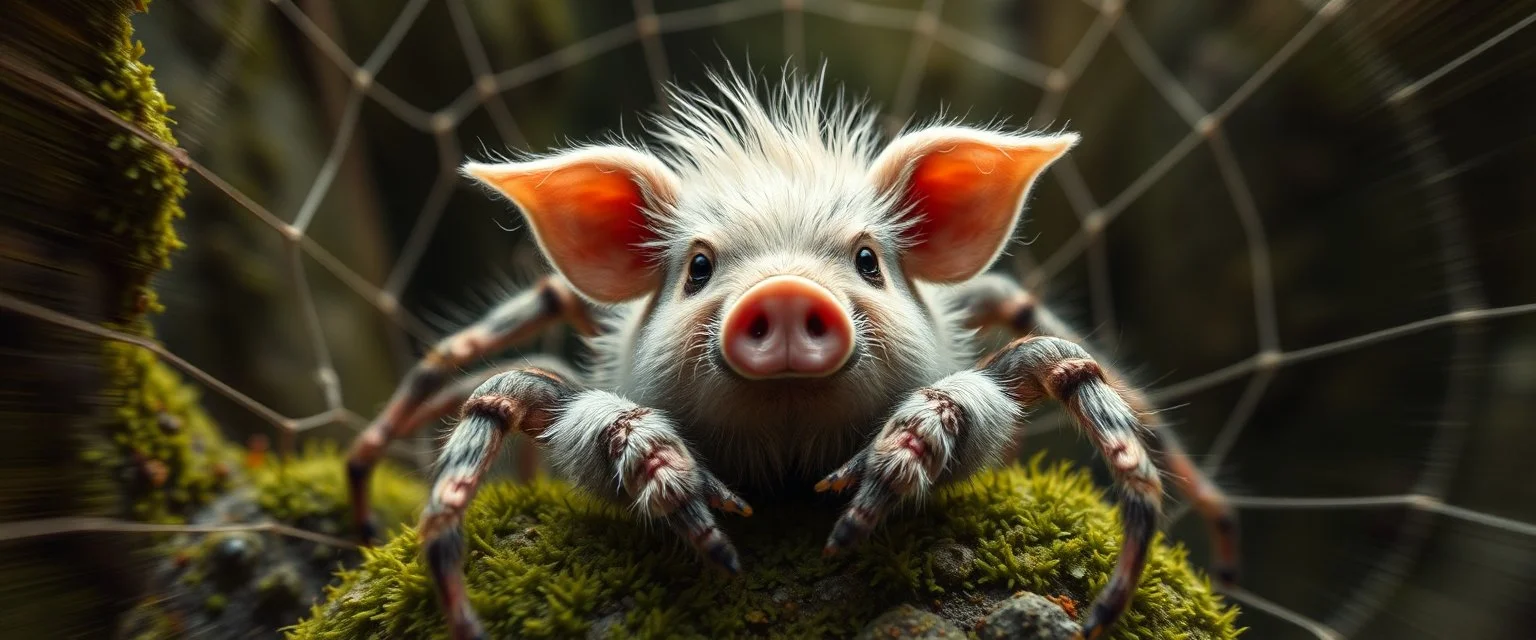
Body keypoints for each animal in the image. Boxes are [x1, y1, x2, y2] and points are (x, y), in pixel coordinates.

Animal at [344, 71, 1237, 640]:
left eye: (869, 260)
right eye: (698, 267)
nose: (780, 293)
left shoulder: (1003, 374)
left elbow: (1064, 377)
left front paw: (1101, 614)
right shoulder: (558, 396)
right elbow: (500, 405)